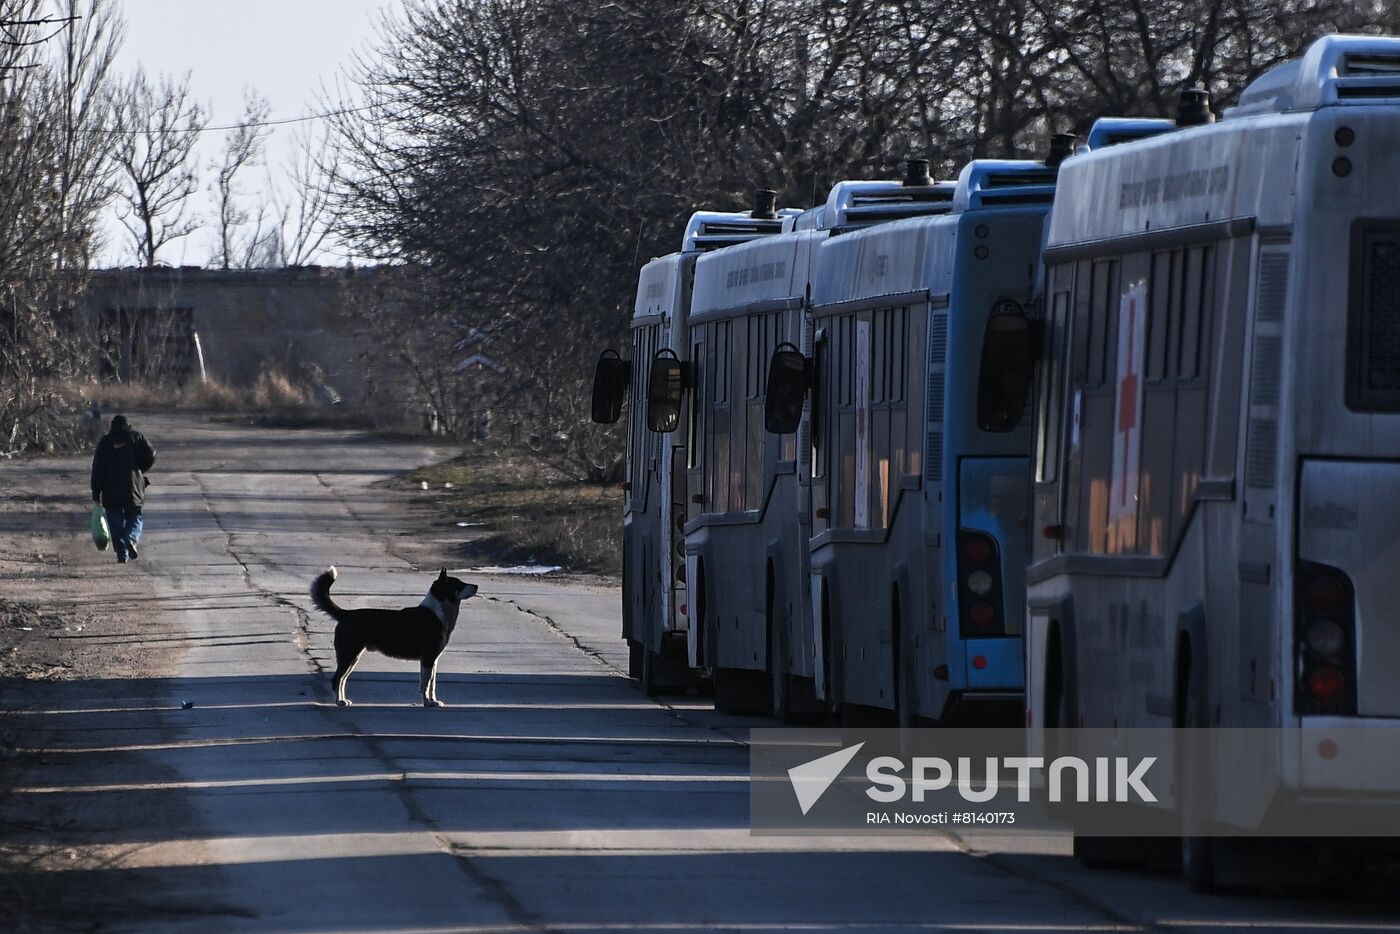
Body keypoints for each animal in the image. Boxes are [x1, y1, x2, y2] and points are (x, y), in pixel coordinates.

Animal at [309, 571, 478, 708]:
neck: (438, 611)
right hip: (348, 655)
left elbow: (432, 684)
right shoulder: (428, 659)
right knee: (336, 679)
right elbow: (425, 685)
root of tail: (346, 614)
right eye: (459, 584)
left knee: (342, 680)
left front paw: (433, 701)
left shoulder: (433, 660)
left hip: (352, 657)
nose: (476, 585)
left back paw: (343, 700)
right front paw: (427, 703)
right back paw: (339, 702)